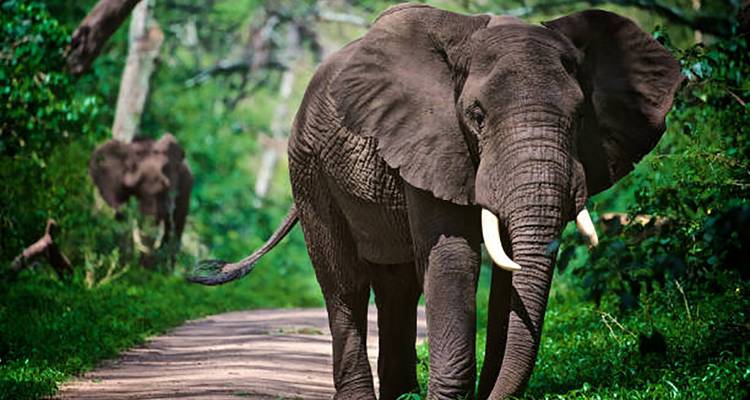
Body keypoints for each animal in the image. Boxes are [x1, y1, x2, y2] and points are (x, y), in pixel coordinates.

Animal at [189, 4, 682, 399]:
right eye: (477, 116)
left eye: (580, 117)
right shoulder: (429, 141)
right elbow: (452, 259)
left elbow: (506, 273)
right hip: (309, 168)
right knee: (345, 285)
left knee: (398, 287)